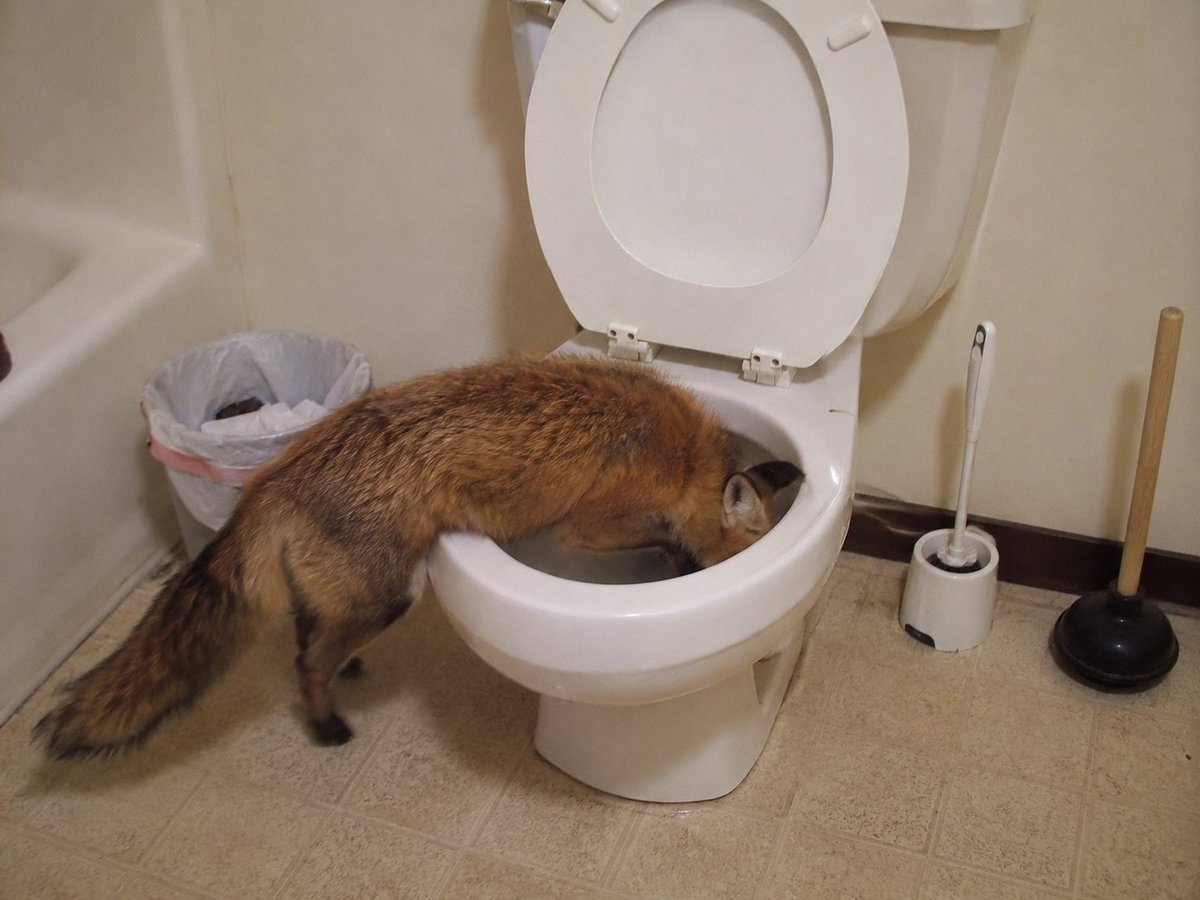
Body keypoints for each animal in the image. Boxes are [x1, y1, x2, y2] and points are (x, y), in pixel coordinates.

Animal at [34, 354, 802, 760]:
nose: (772, 653)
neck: (685, 454)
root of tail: (276, 474)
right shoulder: (586, 527)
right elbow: (658, 534)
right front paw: (679, 558)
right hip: (392, 595)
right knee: (305, 661)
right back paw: (326, 725)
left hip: (355, 591)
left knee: (305, 633)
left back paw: (343, 672)